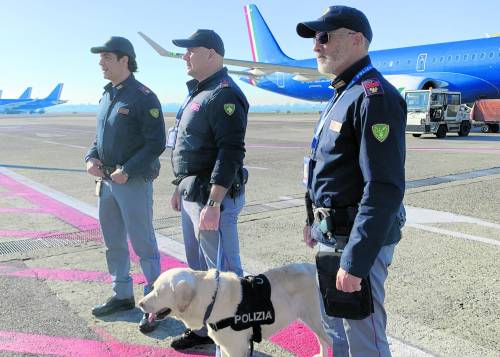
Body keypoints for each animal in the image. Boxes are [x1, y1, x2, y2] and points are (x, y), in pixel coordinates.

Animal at [139, 262, 330, 356]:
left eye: (159, 292)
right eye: (153, 287)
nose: (140, 304)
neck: (211, 299)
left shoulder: (236, 348)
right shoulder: (224, 346)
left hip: (315, 319)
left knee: (328, 341)